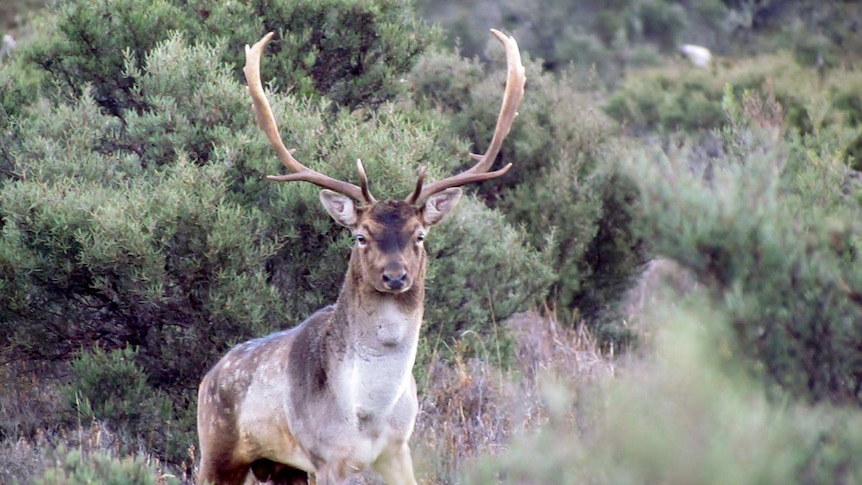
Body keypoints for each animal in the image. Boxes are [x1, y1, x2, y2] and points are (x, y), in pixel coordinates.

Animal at [197, 28, 528, 482]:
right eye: (360, 236)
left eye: (419, 235)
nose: (395, 276)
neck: (367, 413)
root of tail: (206, 377)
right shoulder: (326, 457)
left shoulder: (398, 447)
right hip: (216, 448)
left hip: (281, 467)